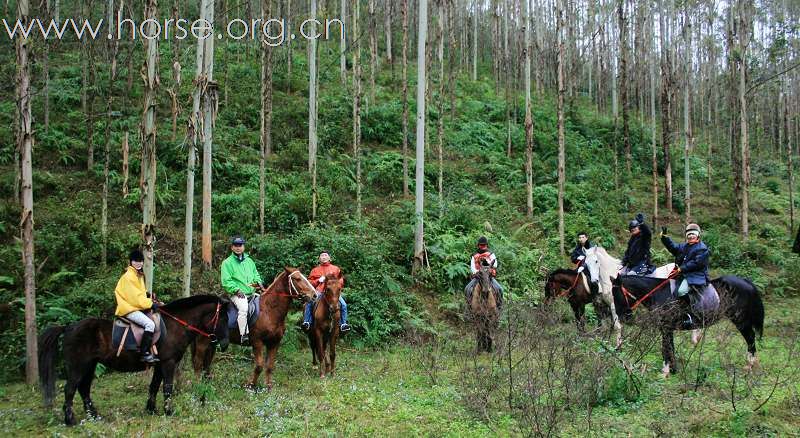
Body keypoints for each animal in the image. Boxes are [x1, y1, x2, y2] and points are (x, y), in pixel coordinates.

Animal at [38, 294, 231, 424]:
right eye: (222, 318)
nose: (225, 344)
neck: (175, 325)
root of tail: (68, 327)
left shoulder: (159, 364)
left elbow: (154, 386)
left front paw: (151, 409)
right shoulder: (168, 363)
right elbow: (167, 388)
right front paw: (168, 411)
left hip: (90, 366)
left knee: (84, 389)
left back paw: (94, 415)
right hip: (78, 366)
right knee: (70, 389)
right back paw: (70, 419)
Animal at [612, 276, 764, 374]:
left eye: (617, 293)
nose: (623, 317)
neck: (659, 293)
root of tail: (747, 283)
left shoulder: (665, 327)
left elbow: (665, 347)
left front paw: (665, 371)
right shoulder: (667, 328)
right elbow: (670, 347)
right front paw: (673, 369)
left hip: (741, 321)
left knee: (750, 338)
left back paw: (749, 365)